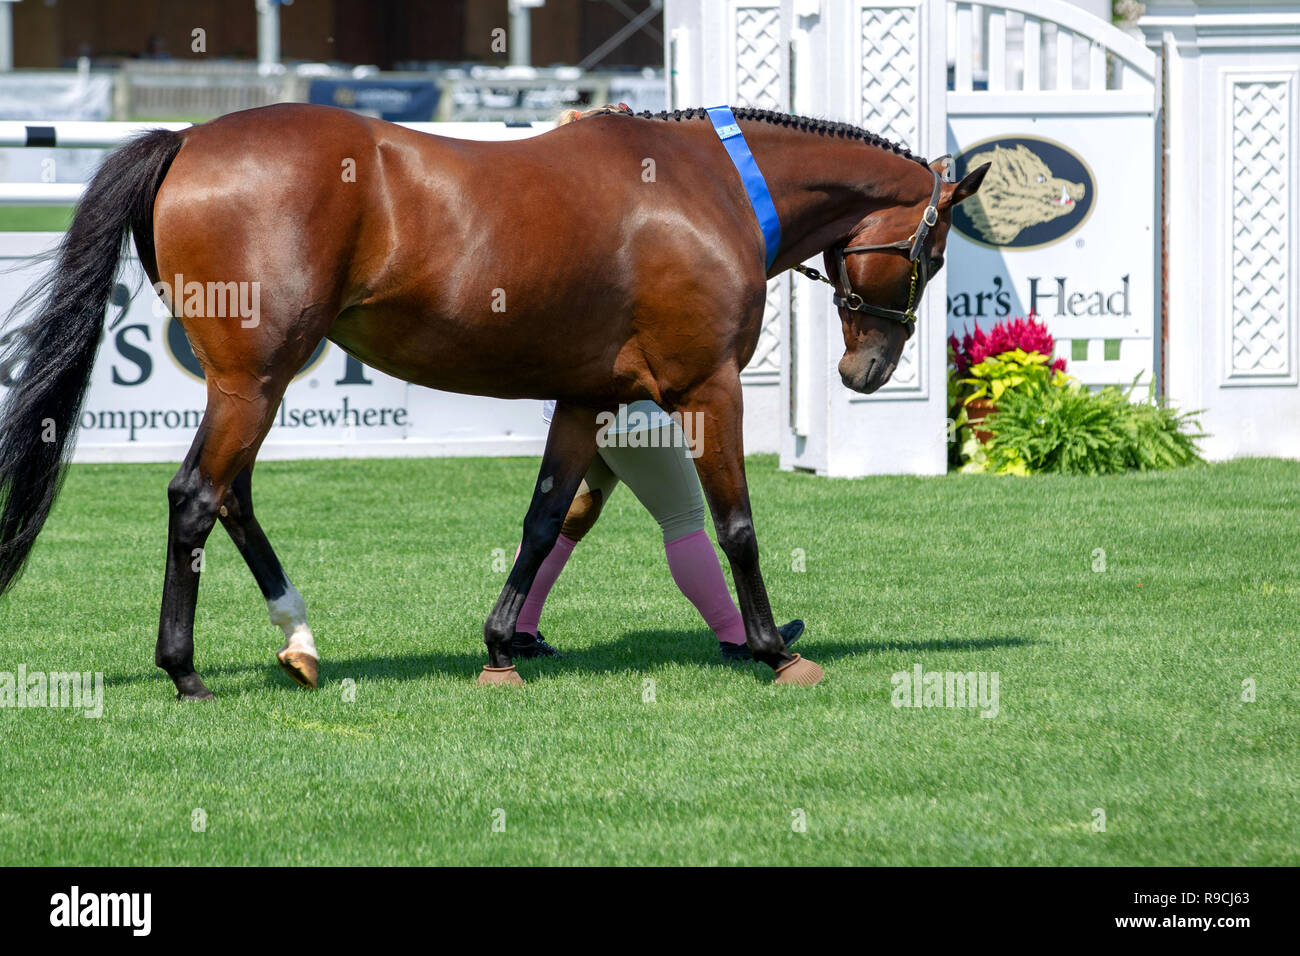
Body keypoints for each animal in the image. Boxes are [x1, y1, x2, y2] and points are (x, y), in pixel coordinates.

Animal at [0, 104, 982, 697]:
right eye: (931, 253)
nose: (869, 370)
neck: (711, 187)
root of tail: (190, 138)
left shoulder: (585, 399)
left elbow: (545, 520)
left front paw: (503, 644)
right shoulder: (708, 387)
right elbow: (737, 524)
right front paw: (778, 648)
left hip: (255, 384)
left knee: (230, 497)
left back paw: (299, 638)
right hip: (255, 382)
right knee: (196, 498)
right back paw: (186, 670)